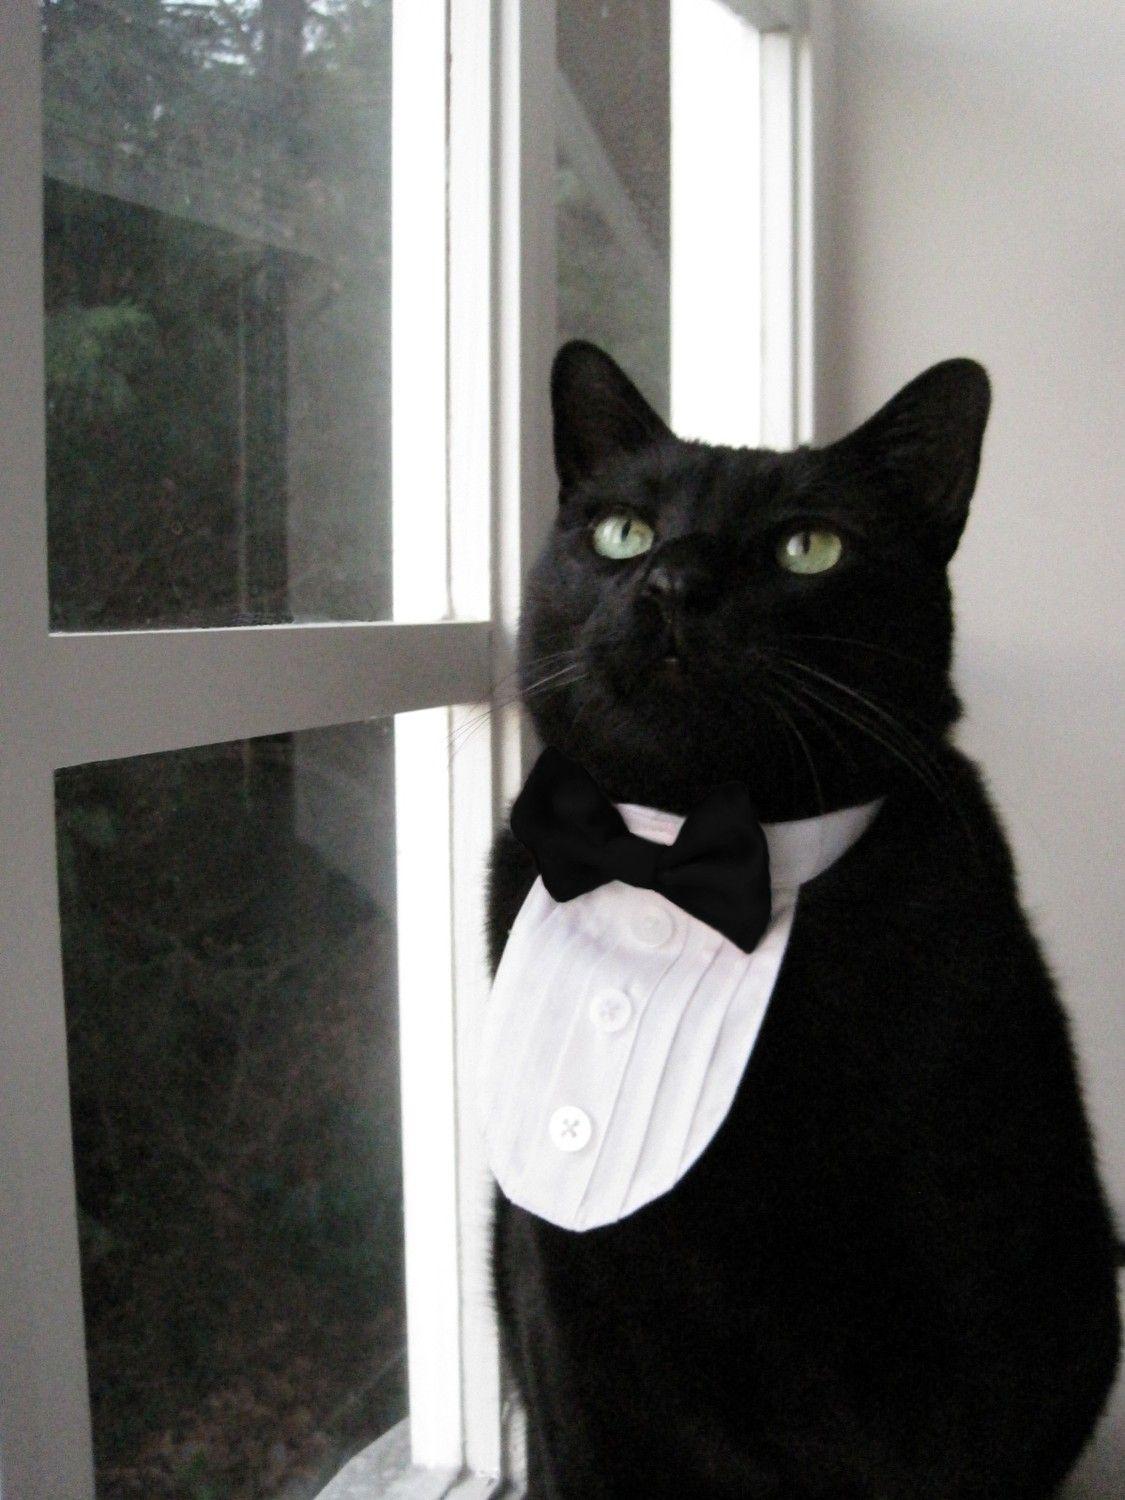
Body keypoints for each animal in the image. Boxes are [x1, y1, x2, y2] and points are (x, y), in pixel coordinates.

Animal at [485, 340, 1121, 1498]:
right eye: (622, 532)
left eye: (808, 548)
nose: (673, 583)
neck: (677, 858)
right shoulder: (567, 1311)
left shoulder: (965, 1299)